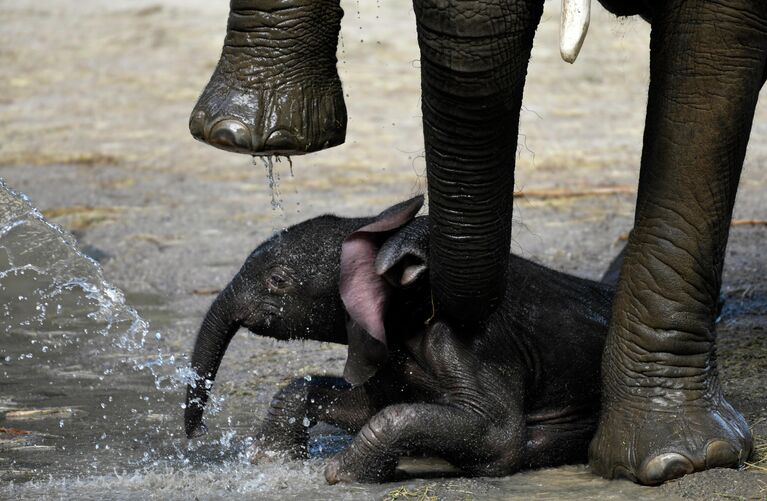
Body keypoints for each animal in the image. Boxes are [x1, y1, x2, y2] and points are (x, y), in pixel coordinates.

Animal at [183, 197, 616, 482]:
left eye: (277, 280)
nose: (195, 433)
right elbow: (368, 403)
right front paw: (268, 459)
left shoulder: (469, 344)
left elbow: (498, 437)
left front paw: (341, 473)